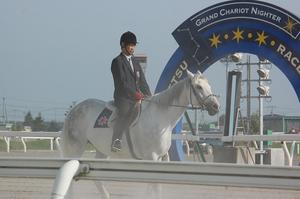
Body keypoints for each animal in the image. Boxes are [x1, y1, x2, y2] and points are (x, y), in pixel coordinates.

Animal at [61, 70, 220, 197]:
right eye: (199, 86)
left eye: (209, 86)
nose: (215, 106)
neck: (161, 116)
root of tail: (75, 109)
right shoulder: (152, 157)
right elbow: (155, 186)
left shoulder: (160, 158)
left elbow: (154, 186)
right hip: (76, 148)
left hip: (102, 151)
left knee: (97, 177)